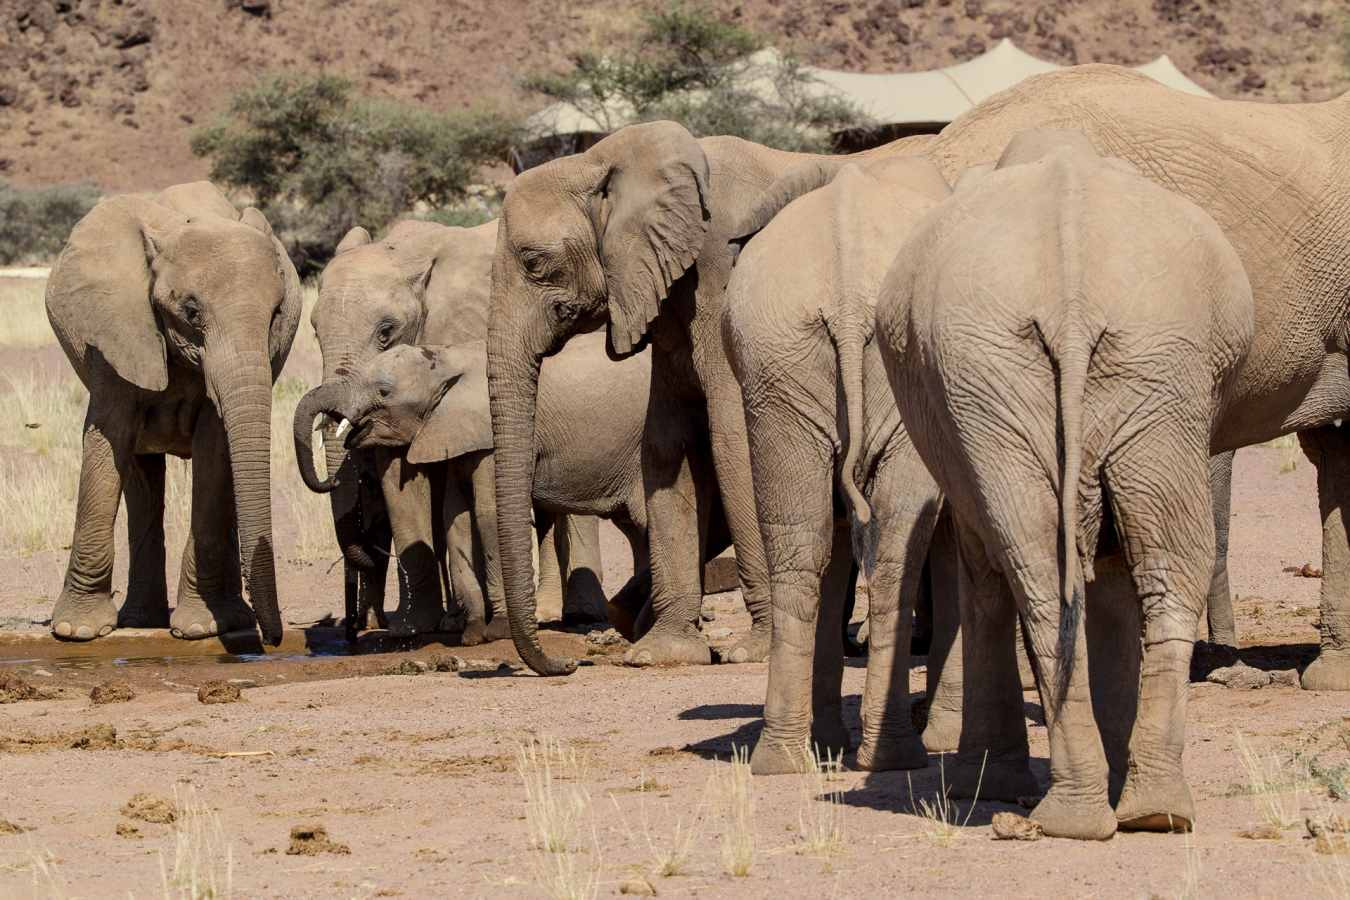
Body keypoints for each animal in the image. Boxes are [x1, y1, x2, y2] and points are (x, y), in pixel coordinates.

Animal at [45, 181, 302, 643]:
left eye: (276, 314)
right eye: (191, 311)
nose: (272, 640)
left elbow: (216, 451)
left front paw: (200, 628)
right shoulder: (114, 335)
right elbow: (108, 439)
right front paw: (77, 630)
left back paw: (226, 618)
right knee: (140, 477)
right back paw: (141, 622)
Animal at [292, 332, 655, 642]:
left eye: (383, 391)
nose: (333, 478)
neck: (447, 360)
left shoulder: (489, 436)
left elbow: (487, 514)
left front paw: (498, 630)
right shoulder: (454, 434)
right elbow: (457, 517)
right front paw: (473, 633)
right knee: (635, 527)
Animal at [293, 219, 606, 639]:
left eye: (386, 332)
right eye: (314, 330)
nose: (351, 632)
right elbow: (401, 479)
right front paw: (413, 630)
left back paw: (574, 614)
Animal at [721, 155, 953, 774]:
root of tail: (847, 290)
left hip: (775, 363)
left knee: (802, 546)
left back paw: (784, 759)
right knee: (894, 545)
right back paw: (891, 755)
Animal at [875, 130, 1254, 839]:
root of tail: (1072, 290)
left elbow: (994, 563)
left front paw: (983, 786)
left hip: (1048, 368)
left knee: (1039, 564)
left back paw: (1097, 811)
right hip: (1132, 366)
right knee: (1151, 561)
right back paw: (1142, 812)